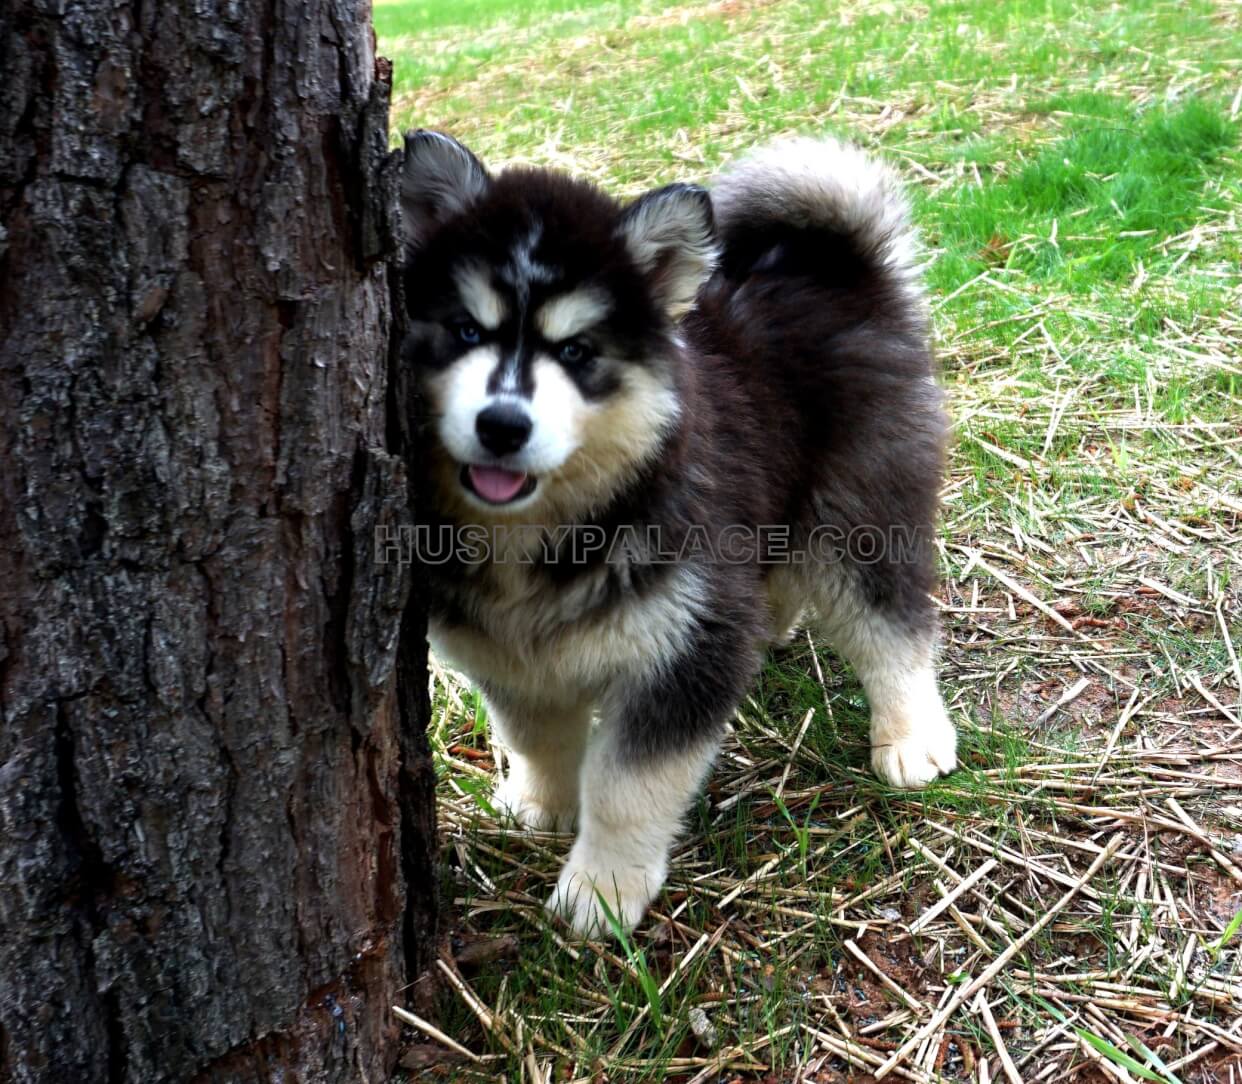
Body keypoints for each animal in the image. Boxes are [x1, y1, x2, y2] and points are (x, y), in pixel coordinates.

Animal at [402, 129, 953, 938]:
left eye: (577, 351)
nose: (502, 425)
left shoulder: (683, 648)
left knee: (892, 626)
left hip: (857, 511)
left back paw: (913, 737)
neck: (549, 531)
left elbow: (627, 786)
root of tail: (837, 267)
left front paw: (601, 890)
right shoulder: (506, 653)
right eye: (466, 331)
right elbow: (534, 735)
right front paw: (541, 803)